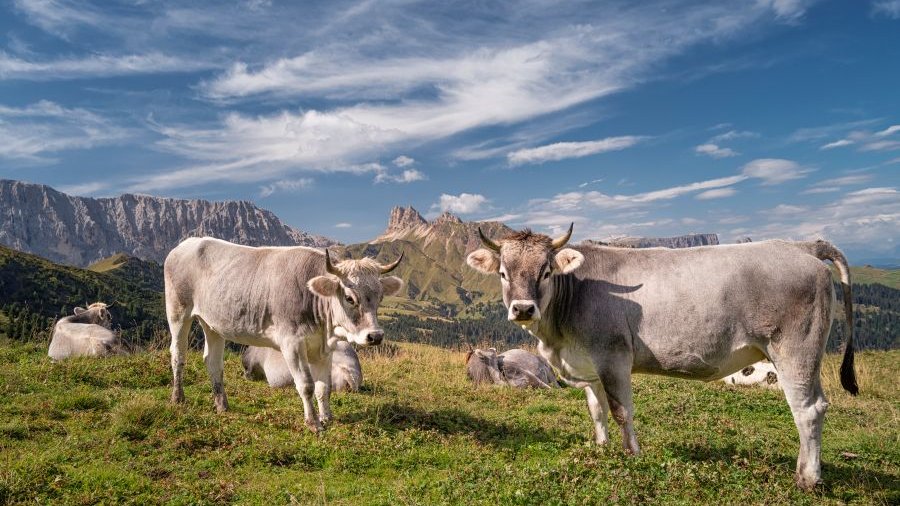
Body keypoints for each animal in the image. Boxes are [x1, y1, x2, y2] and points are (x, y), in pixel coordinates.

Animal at [164, 237, 403, 432]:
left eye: (380, 297)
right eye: (350, 298)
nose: (375, 336)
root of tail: (187, 243)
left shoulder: (324, 350)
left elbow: (323, 387)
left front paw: (327, 417)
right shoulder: (292, 344)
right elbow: (306, 385)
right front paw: (313, 423)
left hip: (212, 323)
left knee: (213, 362)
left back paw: (222, 405)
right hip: (178, 311)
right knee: (178, 354)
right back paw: (178, 397)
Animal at [466, 224, 856, 490]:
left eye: (546, 272)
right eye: (503, 273)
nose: (523, 308)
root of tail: (799, 245)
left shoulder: (613, 356)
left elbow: (621, 411)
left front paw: (632, 455)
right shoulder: (588, 364)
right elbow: (596, 410)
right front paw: (601, 448)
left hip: (795, 349)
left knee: (808, 409)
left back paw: (807, 478)